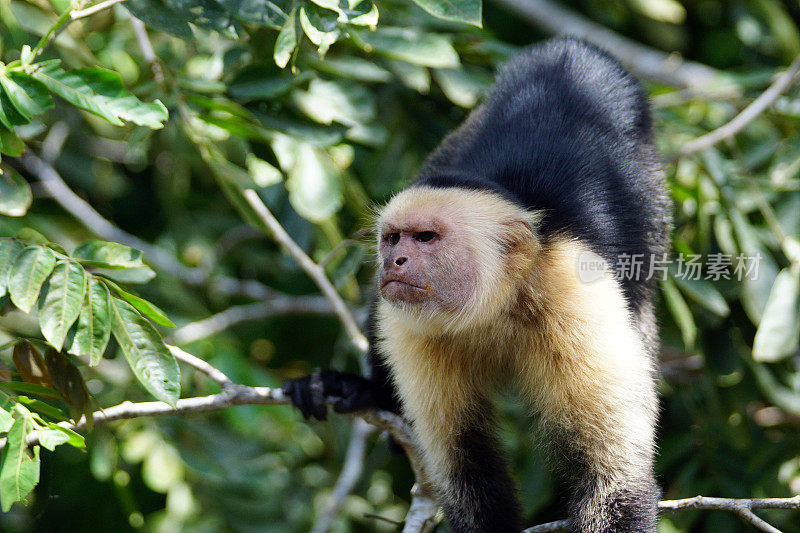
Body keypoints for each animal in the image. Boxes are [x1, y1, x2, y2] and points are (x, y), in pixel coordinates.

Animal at [284, 38, 672, 532]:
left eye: (426, 238)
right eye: (393, 238)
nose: (395, 260)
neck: (498, 303)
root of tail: (572, 49)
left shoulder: (575, 296)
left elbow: (615, 482)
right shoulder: (414, 331)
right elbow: (466, 472)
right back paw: (364, 392)